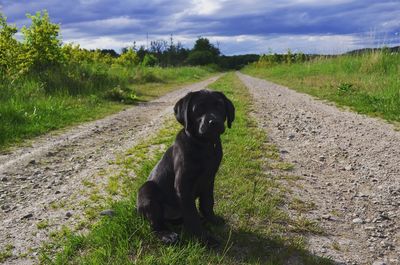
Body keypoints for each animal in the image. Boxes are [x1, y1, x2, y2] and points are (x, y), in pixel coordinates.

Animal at [137, 88, 234, 245]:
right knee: (155, 224)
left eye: (220, 106)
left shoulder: (209, 179)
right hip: (147, 190)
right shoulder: (183, 185)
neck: (204, 145)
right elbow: (192, 215)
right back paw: (166, 235)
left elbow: (208, 203)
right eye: (198, 108)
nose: (214, 122)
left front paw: (212, 220)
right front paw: (205, 239)